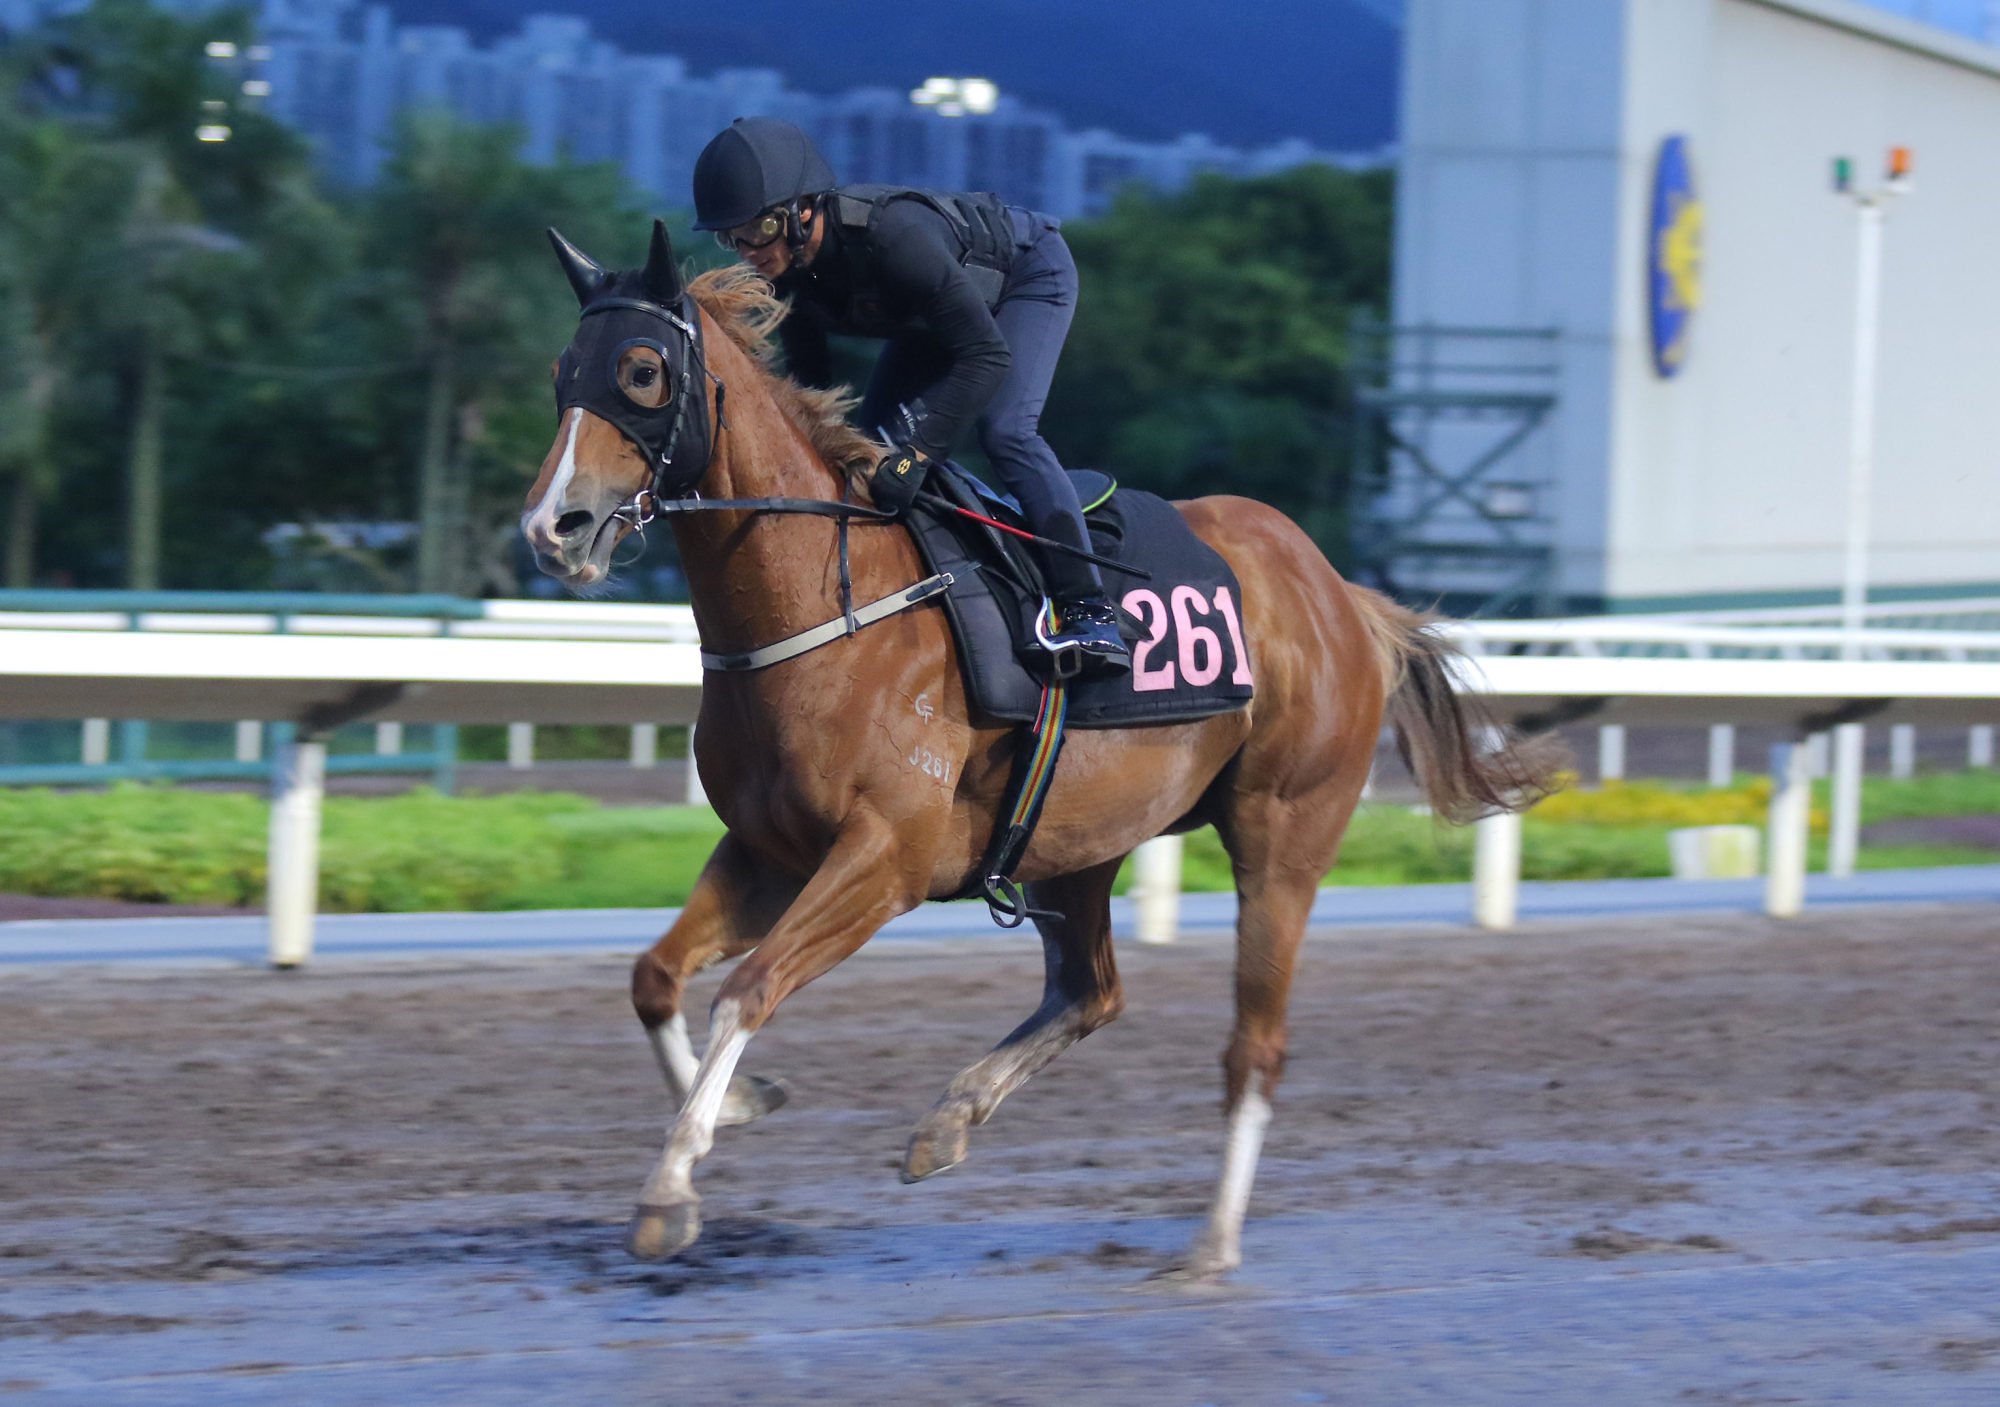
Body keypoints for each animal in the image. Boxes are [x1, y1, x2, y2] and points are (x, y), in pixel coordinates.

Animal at [520, 225, 1560, 1279]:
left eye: (642, 370)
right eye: (562, 372)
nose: (552, 527)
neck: (824, 608)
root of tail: (1341, 593)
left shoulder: (884, 859)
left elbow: (748, 988)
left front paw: (670, 1187)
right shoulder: (769, 851)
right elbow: (656, 977)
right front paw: (738, 1101)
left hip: (1284, 835)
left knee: (1254, 1043)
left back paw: (1211, 1244)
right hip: (1078, 840)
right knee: (1092, 990)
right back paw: (950, 1119)